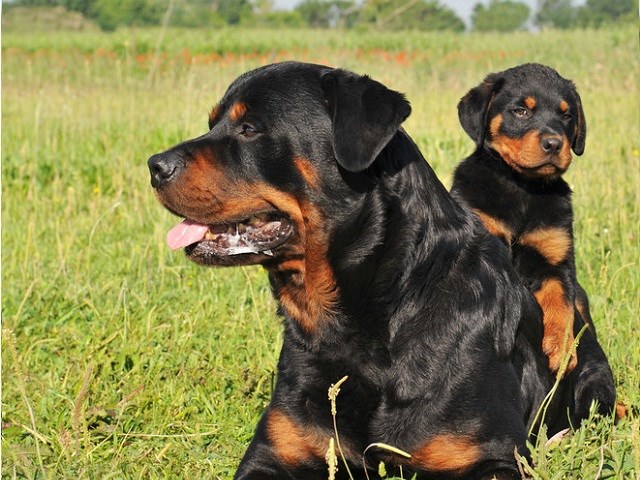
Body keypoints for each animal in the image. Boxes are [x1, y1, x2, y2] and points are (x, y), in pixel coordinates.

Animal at [452, 62, 616, 422]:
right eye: (521, 111)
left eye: (566, 115)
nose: (554, 143)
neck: (523, 188)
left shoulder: (556, 259)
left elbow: (560, 301)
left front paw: (562, 348)